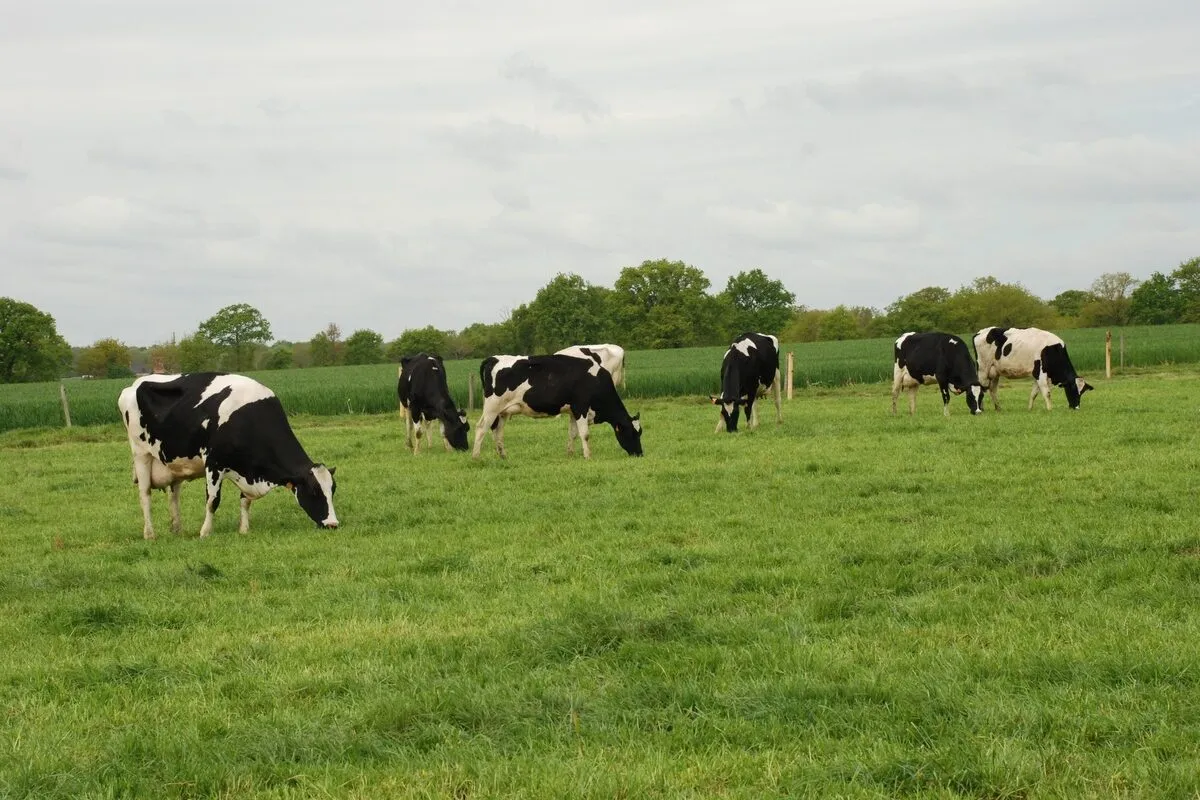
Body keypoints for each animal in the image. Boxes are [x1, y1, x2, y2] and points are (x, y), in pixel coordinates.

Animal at [118, 372, 338, 539]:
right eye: (314, 492)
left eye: (332, 490)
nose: (333, 524)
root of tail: (134, 384)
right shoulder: (213, 463)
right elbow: (213, 501)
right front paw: (205, 532)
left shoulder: (247, 468)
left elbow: (245, 501)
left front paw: (244, 529)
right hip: (141, 454)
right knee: (145, 495)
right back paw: (150, 534)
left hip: (173, 462)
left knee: (174, 495)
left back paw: (177, 530)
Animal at [471, 354, 643, 460]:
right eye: (632, 433)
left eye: (640, 432)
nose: (640, 453)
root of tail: (494, 358)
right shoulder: (581, 407)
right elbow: (585, 434)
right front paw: (588, 456)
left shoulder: (573, 411)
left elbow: (573, 434)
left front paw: (570, 454)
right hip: (492, 407)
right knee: (481, 428)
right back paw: (476, 457)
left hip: (503, 412)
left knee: (498, 432)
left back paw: (503, 456)